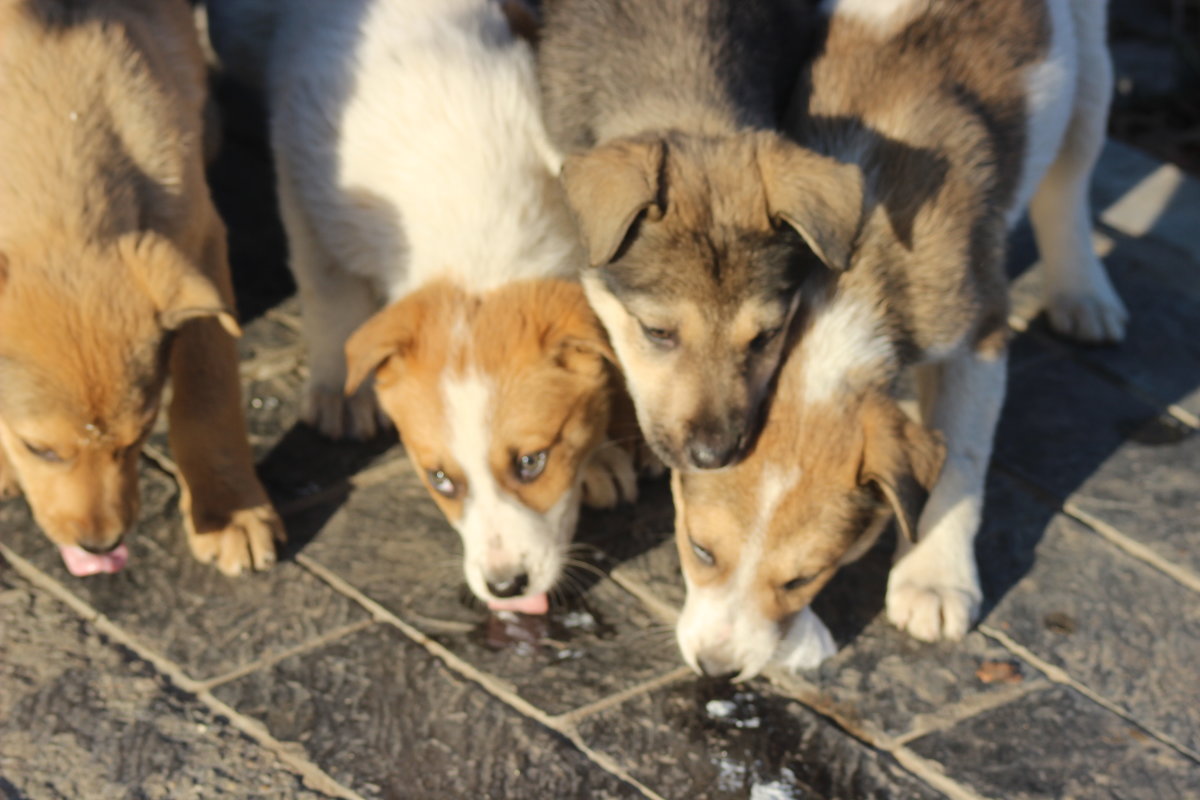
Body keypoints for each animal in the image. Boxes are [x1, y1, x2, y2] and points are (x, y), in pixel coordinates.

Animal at [0, 0, 283, 575]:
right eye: (41, 449)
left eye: (138, 439)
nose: (101, 546)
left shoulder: (200, 237)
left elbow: (208, 389)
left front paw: (231, 511)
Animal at [208, 0, 638, 609]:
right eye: (441, 481)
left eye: (533, 462)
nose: (505, 587)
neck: (478, 229)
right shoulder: (303, 175)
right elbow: (328, 291)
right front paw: (340, 388)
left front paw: (601, 453)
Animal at [667, 0, 1123, 681]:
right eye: (700, 549)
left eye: (803, 578)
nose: (717, 670)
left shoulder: (979, 332)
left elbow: (961, 458)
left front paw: (934, 579)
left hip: (1090, 62)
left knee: (1070, 179)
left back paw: (1085, 295)